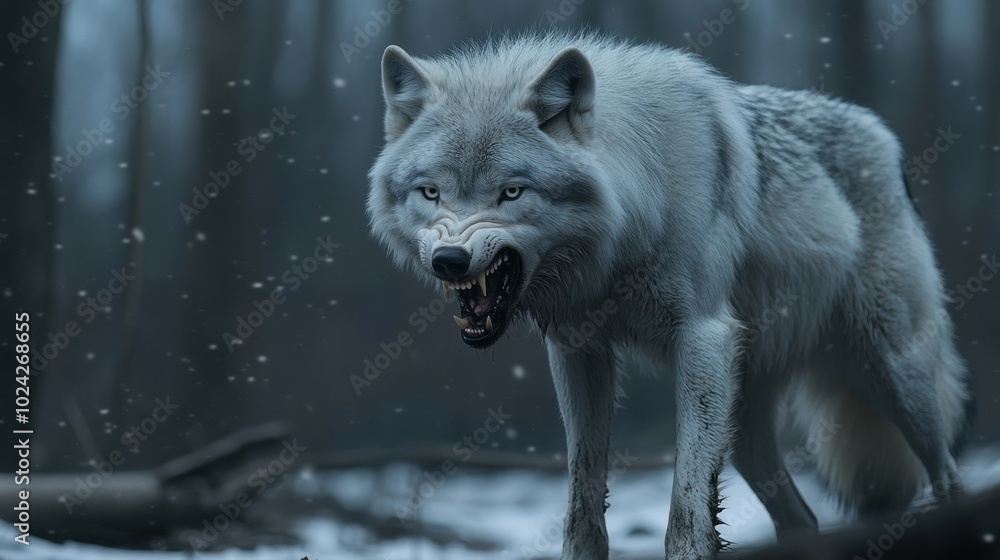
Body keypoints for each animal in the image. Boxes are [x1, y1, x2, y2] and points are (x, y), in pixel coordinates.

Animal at [366, 32, 971, 559]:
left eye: (511, 192)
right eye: (430, 192)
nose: (449, 260)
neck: (628, 228)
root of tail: (886, 140)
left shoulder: (701, 339)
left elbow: (687, 513)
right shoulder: (577, 352)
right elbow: (582, 507)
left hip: (893, 375)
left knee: (949, 478)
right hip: (745, 425)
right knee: (803, 519)